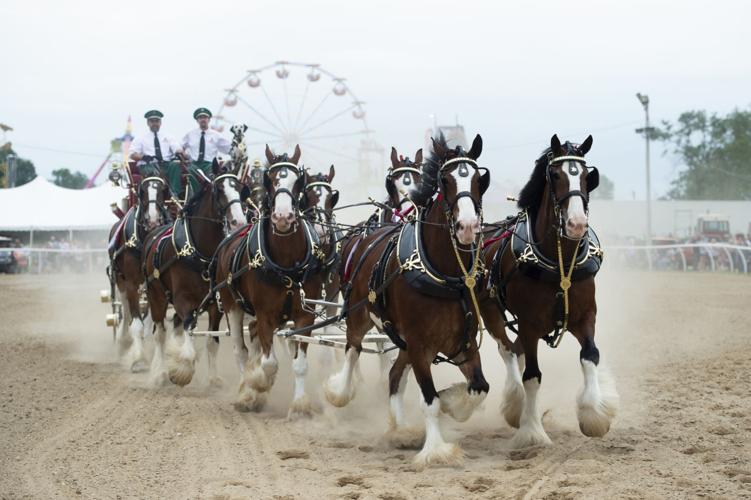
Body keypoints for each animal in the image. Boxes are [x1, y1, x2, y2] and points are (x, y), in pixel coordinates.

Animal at [478, 135, 620, 448]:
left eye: (587, 176)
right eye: (555, 175)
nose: (577, 224)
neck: (560, 263)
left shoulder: (584, 317)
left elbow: (590, 356)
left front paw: (594, 415)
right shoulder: (530, 324)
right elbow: (532, 376)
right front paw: (532, 431)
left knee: (515, 349)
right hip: (490, 312)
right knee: (507, 350)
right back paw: (515, 404)